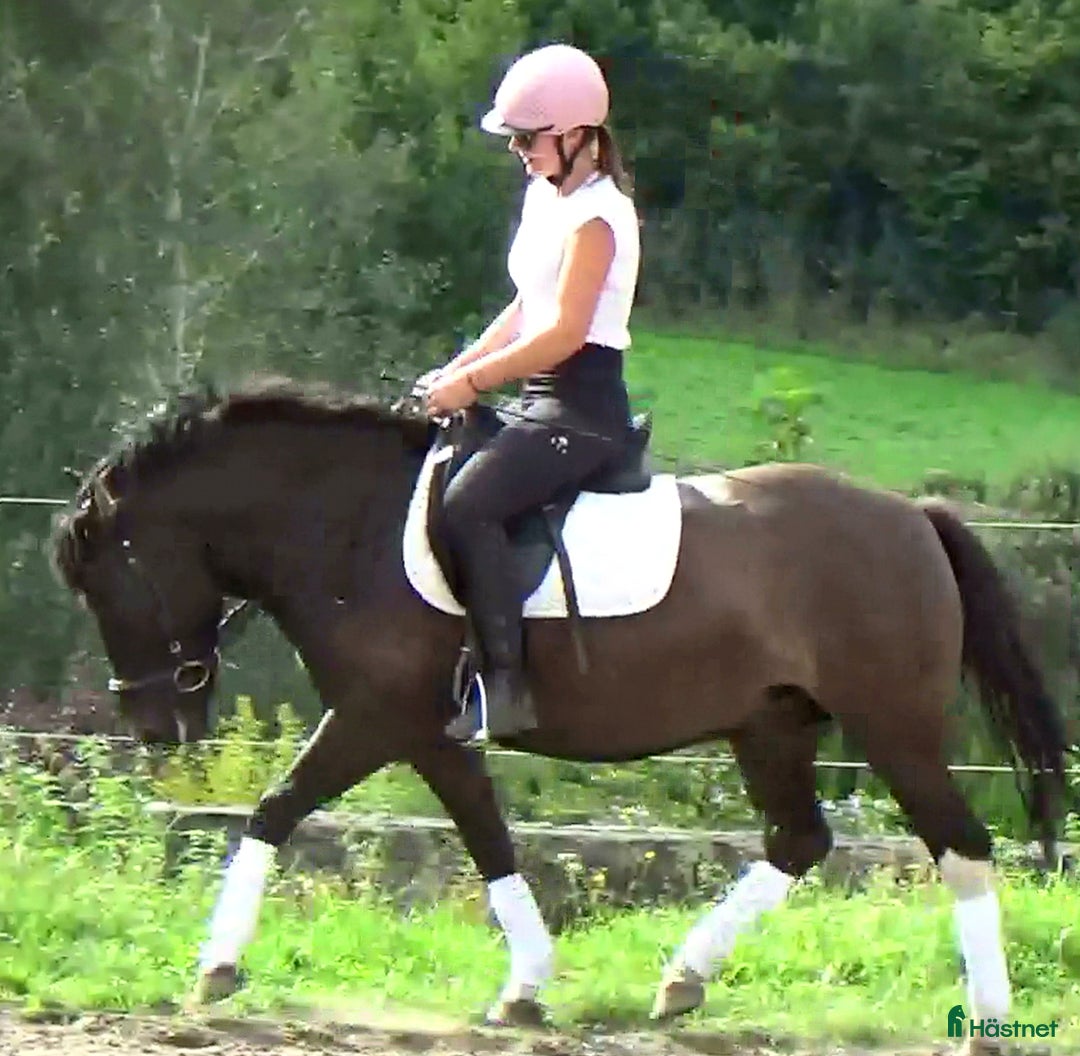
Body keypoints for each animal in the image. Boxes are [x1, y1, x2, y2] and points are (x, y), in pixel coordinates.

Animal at [51, 376, 1072, 1055]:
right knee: (799, 841)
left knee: (959, 841)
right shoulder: (426, 733)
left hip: (892, 725)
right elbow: (489, 840)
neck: (349, 527)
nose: (154, 728)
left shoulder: (380, 718)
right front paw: (524, 990)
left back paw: (986, 1019)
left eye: (109, 583)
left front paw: (216, 967)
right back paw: (681, 981)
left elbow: (274, 810)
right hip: (770, 723)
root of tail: (913, 516)